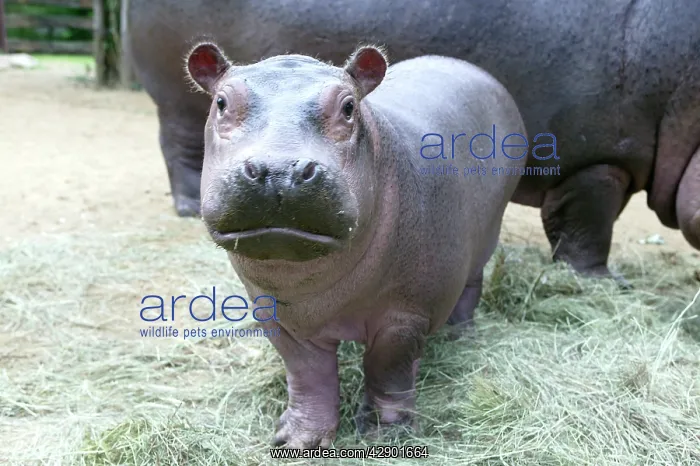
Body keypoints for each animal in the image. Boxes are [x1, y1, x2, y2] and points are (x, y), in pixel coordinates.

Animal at [128, 0, 700, 283]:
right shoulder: (598, 159)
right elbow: (586, 227)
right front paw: (603, 283)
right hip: (175, 98)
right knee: (180, 147)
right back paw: (186, 208)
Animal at [184, 42, 526, 447]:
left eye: (348, 107)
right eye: (221, 102)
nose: (279, 170)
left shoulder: (403, 317)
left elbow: (387, 371)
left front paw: (385, 434)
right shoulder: (280, 319)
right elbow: (308, 376)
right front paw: (296, 440)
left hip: (486, 237)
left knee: (471, 287)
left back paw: (463, 334)